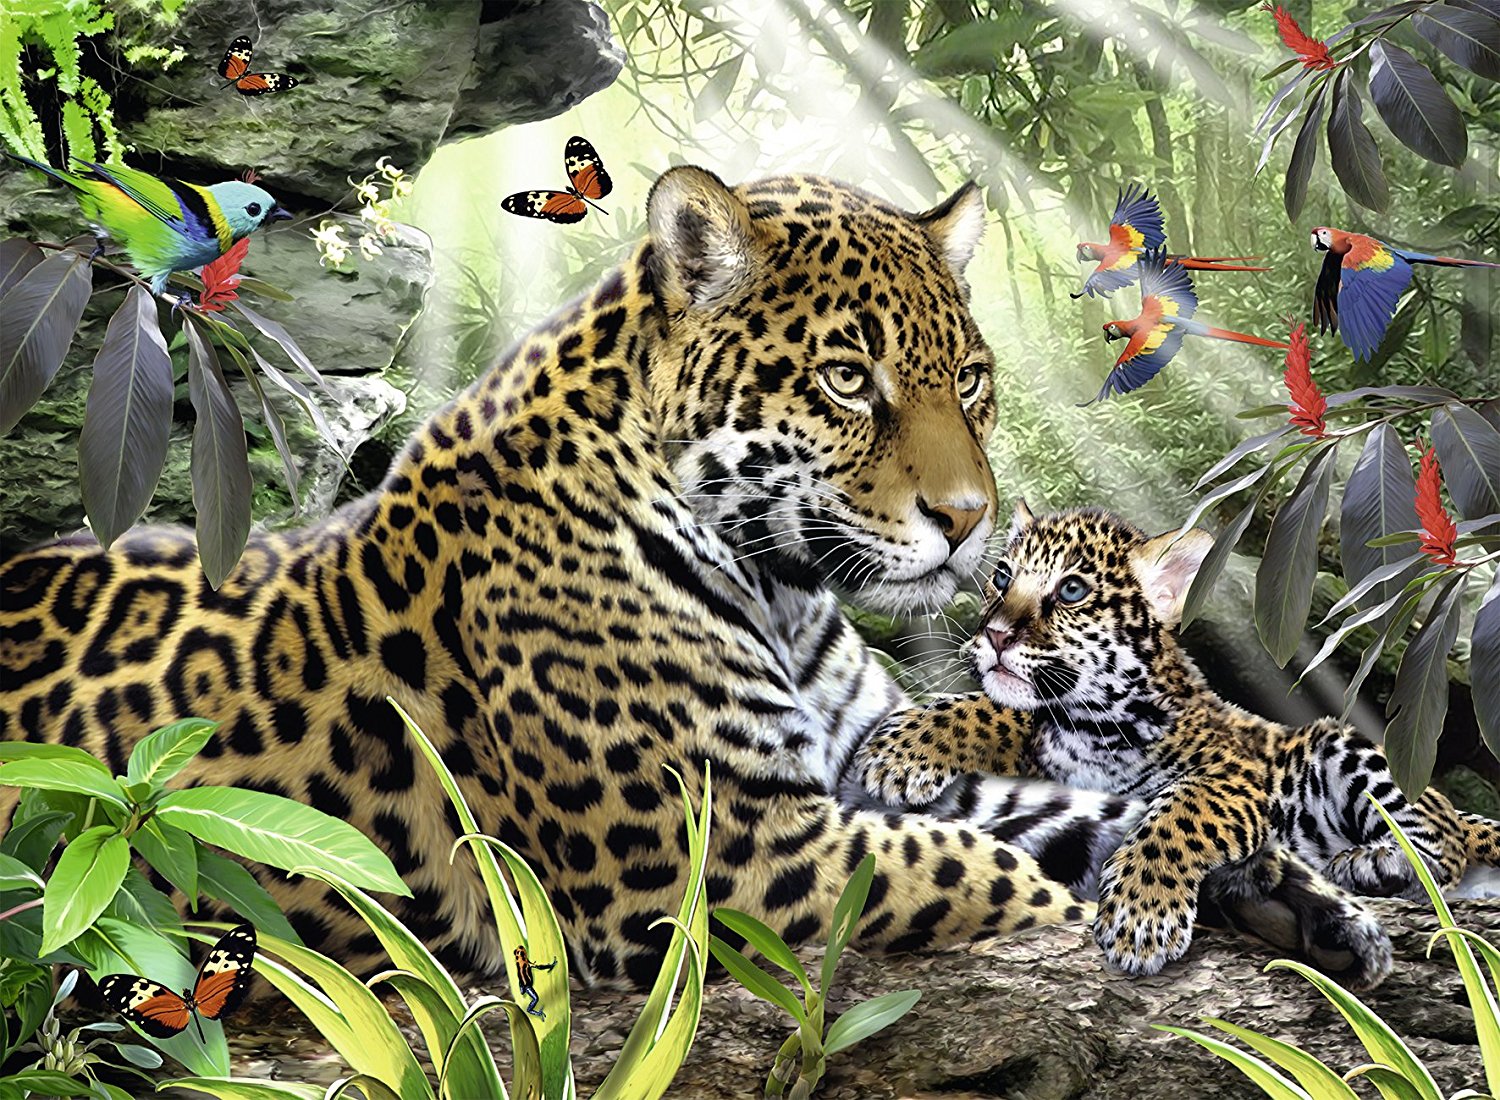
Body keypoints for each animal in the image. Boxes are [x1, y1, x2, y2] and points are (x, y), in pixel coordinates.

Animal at [0, 165, 1386, 989]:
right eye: (847, 380)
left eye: (972, 381)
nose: (970, 522)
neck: (781, 580)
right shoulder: (716, 854)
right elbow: (984, 864)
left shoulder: (858, 763)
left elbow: (1059, 809)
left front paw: (1299, 895)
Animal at [856, 501, 1500, 985]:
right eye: (1001, 578)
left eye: (1071, 590)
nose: (993, 634)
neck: (1089, 725)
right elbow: (1000, 709)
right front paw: (902, 746)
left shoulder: (1234, 769)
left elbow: (1179, 813)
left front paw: (1142, 915)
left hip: (1341, 746)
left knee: (1443, 848)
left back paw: (1373, 864)